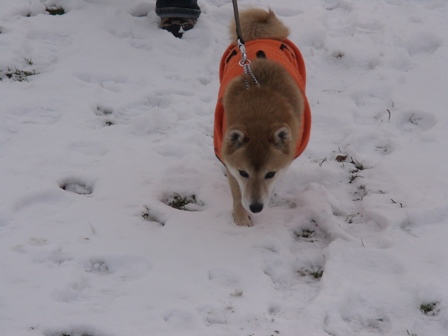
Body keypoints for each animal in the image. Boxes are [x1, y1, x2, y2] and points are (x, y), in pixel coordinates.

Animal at [214, 7, 312, 227]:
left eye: (270, 174)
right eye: (243, 173)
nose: (256, 207)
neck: (260, 110)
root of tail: (261, 33)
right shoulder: (228, 155)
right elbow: (236, 192)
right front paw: (241, 217)